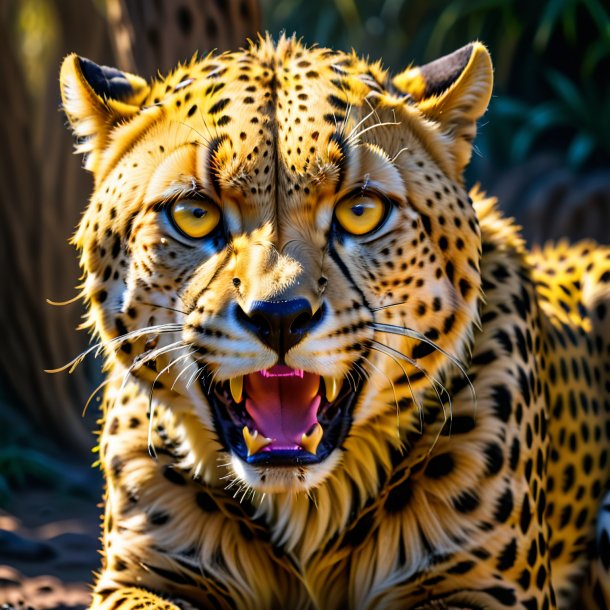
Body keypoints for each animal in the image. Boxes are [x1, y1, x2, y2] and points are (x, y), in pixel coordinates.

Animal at [58, 35, 608, 604]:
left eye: (360, 211)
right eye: (194, 214)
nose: (280, 318)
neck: (305, 510)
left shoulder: (490, 588)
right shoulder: (140, 577)